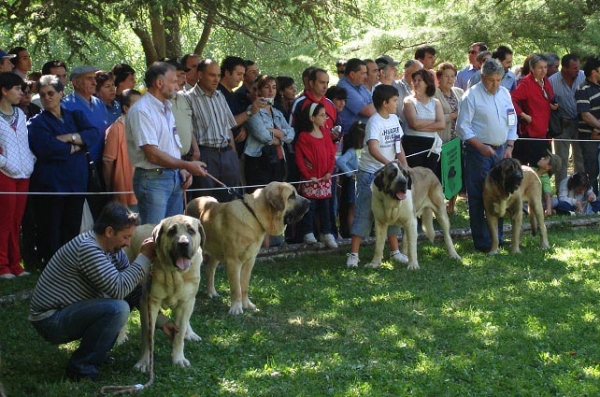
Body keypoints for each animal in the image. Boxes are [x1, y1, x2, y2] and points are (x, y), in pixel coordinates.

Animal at [186, 181, 310, 314]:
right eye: (291, 196)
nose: (309, 202)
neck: (254, 215)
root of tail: (191, 202)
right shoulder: (233, 261)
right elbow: (236, 287)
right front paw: (236, 308)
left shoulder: (249, 261)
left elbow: (244, 285)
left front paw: (246, 304)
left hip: (215, 252)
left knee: (210, 270)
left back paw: (212, 292)